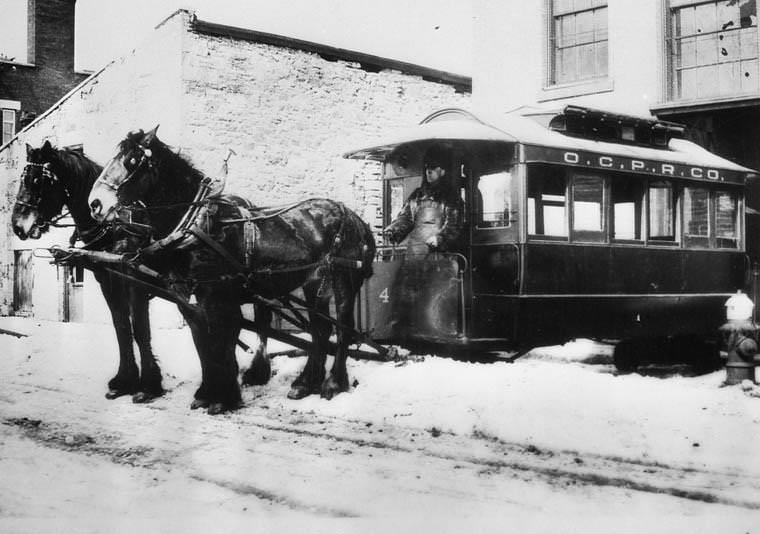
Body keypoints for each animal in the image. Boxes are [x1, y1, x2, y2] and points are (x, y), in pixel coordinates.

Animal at [10, 140, 166, 404]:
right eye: (22, 178)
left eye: (37, 180)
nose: (17, 225)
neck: (114, 225)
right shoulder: (107, 281)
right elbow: (121, 326)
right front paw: (124, 381)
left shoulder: (135, 281)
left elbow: (141, 330)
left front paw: (149, 384)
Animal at [87, 127, 378, 416]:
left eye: (132, 160)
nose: (95, 203)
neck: (196, 224)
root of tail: (354, 217)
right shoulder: (187, 299)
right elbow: (203, 345)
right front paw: (206, 393)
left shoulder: (215, 296)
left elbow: (218, 344)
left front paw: (223, 398)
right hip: (314, 283)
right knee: (320, 330)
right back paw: (305, 383)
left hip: (344, 281)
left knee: (343, 330)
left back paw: (333, 383)